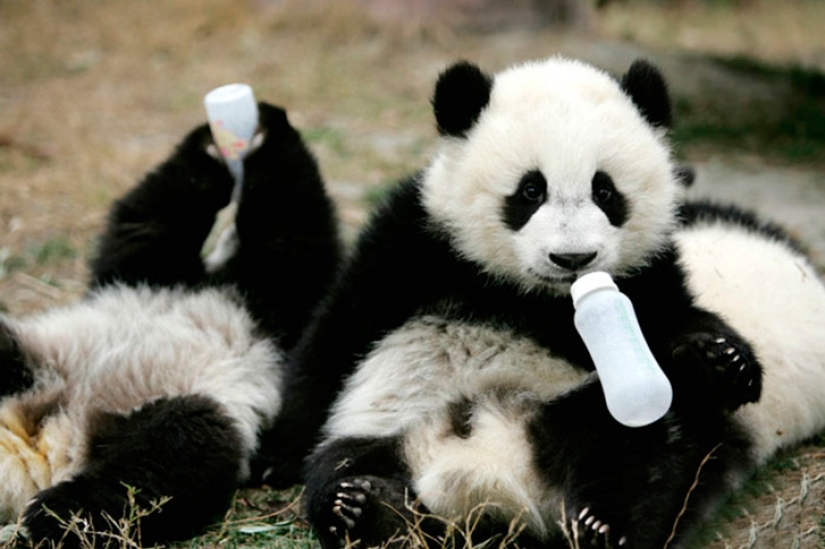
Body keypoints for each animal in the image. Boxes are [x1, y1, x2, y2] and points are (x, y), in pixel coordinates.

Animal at [0, 102, 340, 547]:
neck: (215, 277)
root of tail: (51, 440)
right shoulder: (145, 275)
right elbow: (148, 218)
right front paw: (211, 145)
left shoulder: (270, 309)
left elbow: (292, 235)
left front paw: (264, 128)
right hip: (33, 353)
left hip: (174, 402)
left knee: (170, 455)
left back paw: (55, 513)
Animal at [278, 56, 825, 549]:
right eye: (530, 190)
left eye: (605, 191)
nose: (573, 258)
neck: (535, 298)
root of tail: (492, 481)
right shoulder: (419, 241)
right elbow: (341, 329)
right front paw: (277, 453)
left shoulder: (648, 275)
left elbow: (674, 326)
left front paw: (723, 358)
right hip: (387, 426)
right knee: (339, 466)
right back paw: (367, 508)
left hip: (592, 412)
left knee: (637, 455)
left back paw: (602, 524)